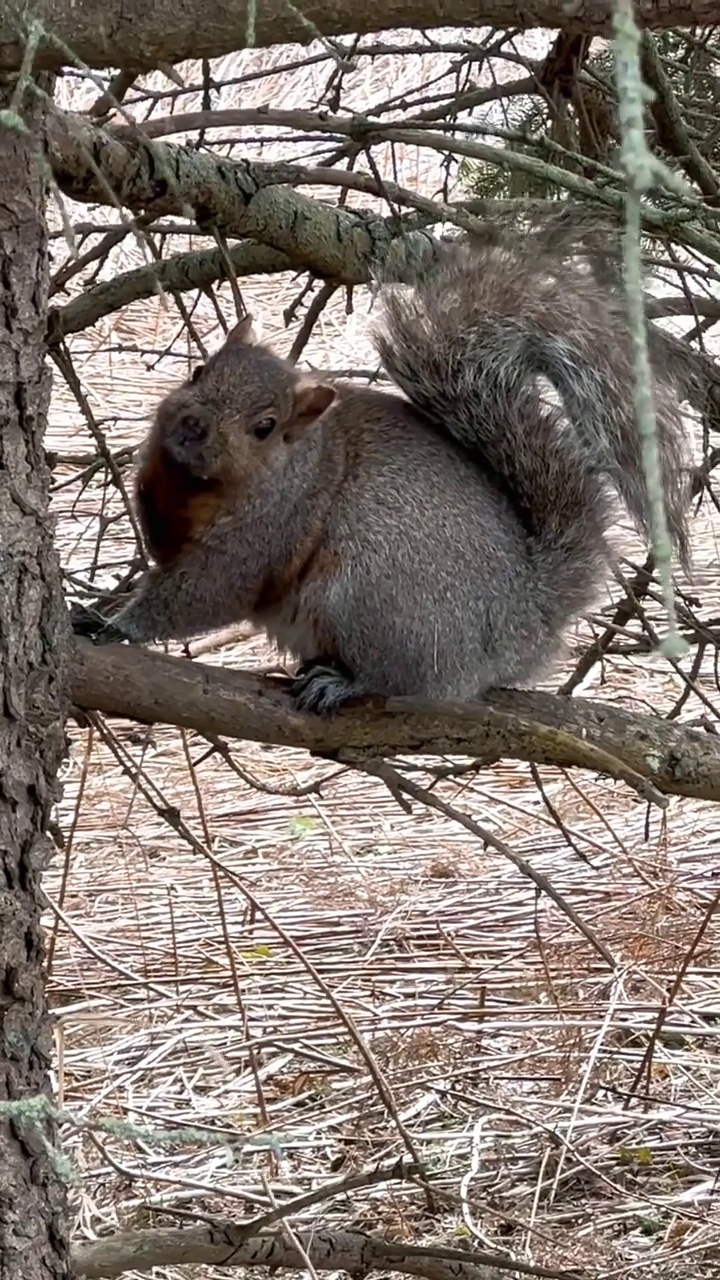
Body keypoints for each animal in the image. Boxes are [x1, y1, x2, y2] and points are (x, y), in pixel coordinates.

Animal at [73, 221, 691, 721]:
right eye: (199, 371)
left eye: (265, 426)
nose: (192, 426)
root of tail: (526, 623)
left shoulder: (268, 527)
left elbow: (205, 590)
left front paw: (117, 625)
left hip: (369, 596)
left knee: (400, 679)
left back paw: (342, 683)